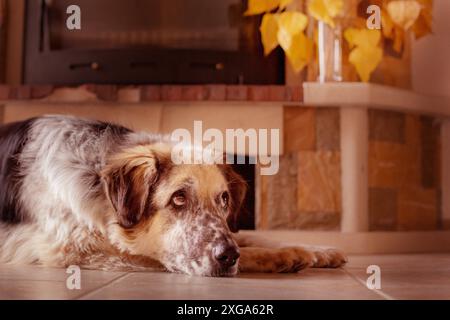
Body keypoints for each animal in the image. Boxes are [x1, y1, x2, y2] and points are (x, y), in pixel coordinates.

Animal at [0, 115, 348, 278]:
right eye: (178, 199)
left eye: (223, 200)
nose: (227, 256)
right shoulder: (74, 250)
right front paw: (283, 256)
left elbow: (251, 236)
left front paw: (316, 250)